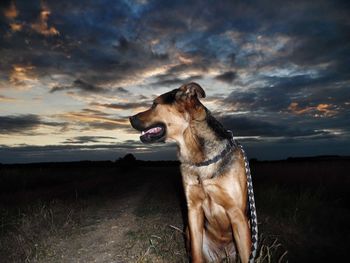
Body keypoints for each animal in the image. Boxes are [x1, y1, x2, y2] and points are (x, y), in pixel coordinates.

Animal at [129, 83, 258, 263]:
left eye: (154, 104)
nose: (129, 118)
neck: (200, 159)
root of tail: (222, 255)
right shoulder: (193, 211)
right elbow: (196, 255)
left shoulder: (238, 215)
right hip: (188, 231)